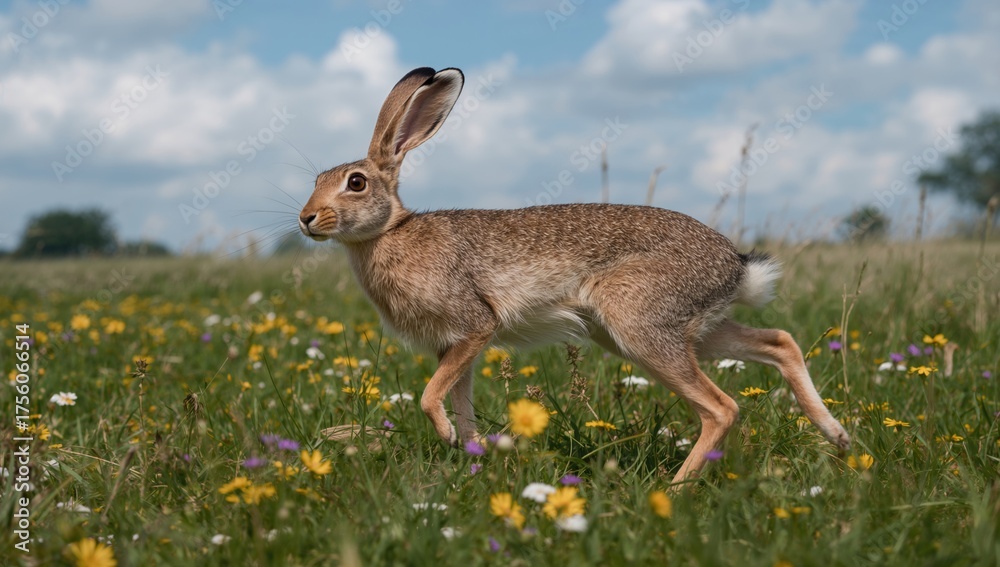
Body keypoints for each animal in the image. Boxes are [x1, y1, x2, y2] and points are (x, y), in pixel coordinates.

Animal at [298, 67, 851, 484]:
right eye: (318, 180)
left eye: (355, 183)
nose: (306, 218)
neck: (389, 232)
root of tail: (734, 264)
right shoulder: (455, 347)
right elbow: (461, 402)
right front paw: (470, 456)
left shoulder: (474, 325)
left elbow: (432, 394)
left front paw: (450, 439)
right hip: (684, 329)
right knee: (779, 342)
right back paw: (837, 434)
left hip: (640, 323)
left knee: (722, 408)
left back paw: (676, 487)